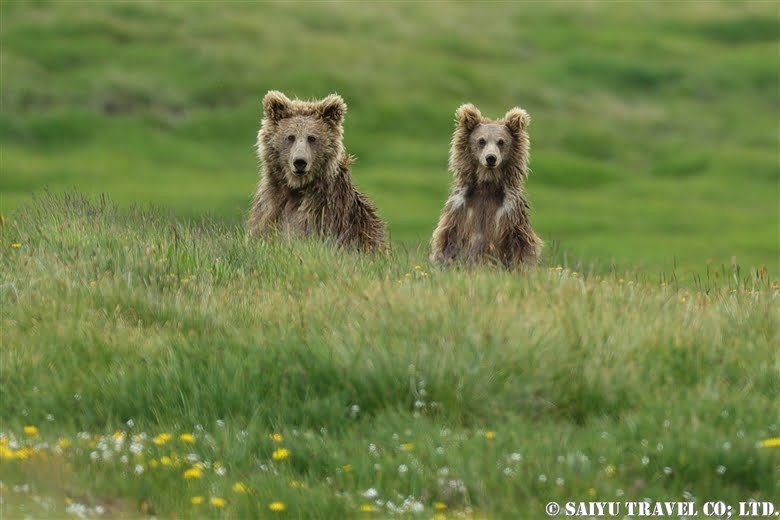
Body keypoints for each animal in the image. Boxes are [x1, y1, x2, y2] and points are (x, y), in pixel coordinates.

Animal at [247, 92, 386, 254]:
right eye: (290, 137)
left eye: (312, 138)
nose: (300, 162)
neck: (296, 188)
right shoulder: (271, 206)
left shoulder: (324, 213)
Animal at [426, 104, 544, 268]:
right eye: (481, 141)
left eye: (501, 142)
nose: (491, 158)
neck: (487, 185)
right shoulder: (460, 208)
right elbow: (448, 238)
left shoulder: (510, 211)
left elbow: (520, 243)